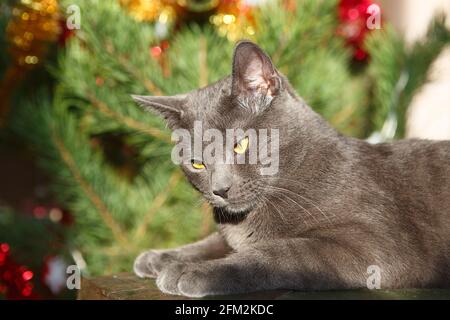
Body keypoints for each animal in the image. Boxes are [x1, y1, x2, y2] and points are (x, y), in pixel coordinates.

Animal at [132, 40, 448, 298]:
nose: (219, 189)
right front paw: (162, 257)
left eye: (240, 144)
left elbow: (278, 251)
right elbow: (214, 241)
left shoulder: (375, 245)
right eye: (196, 162)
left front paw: (192, 272)